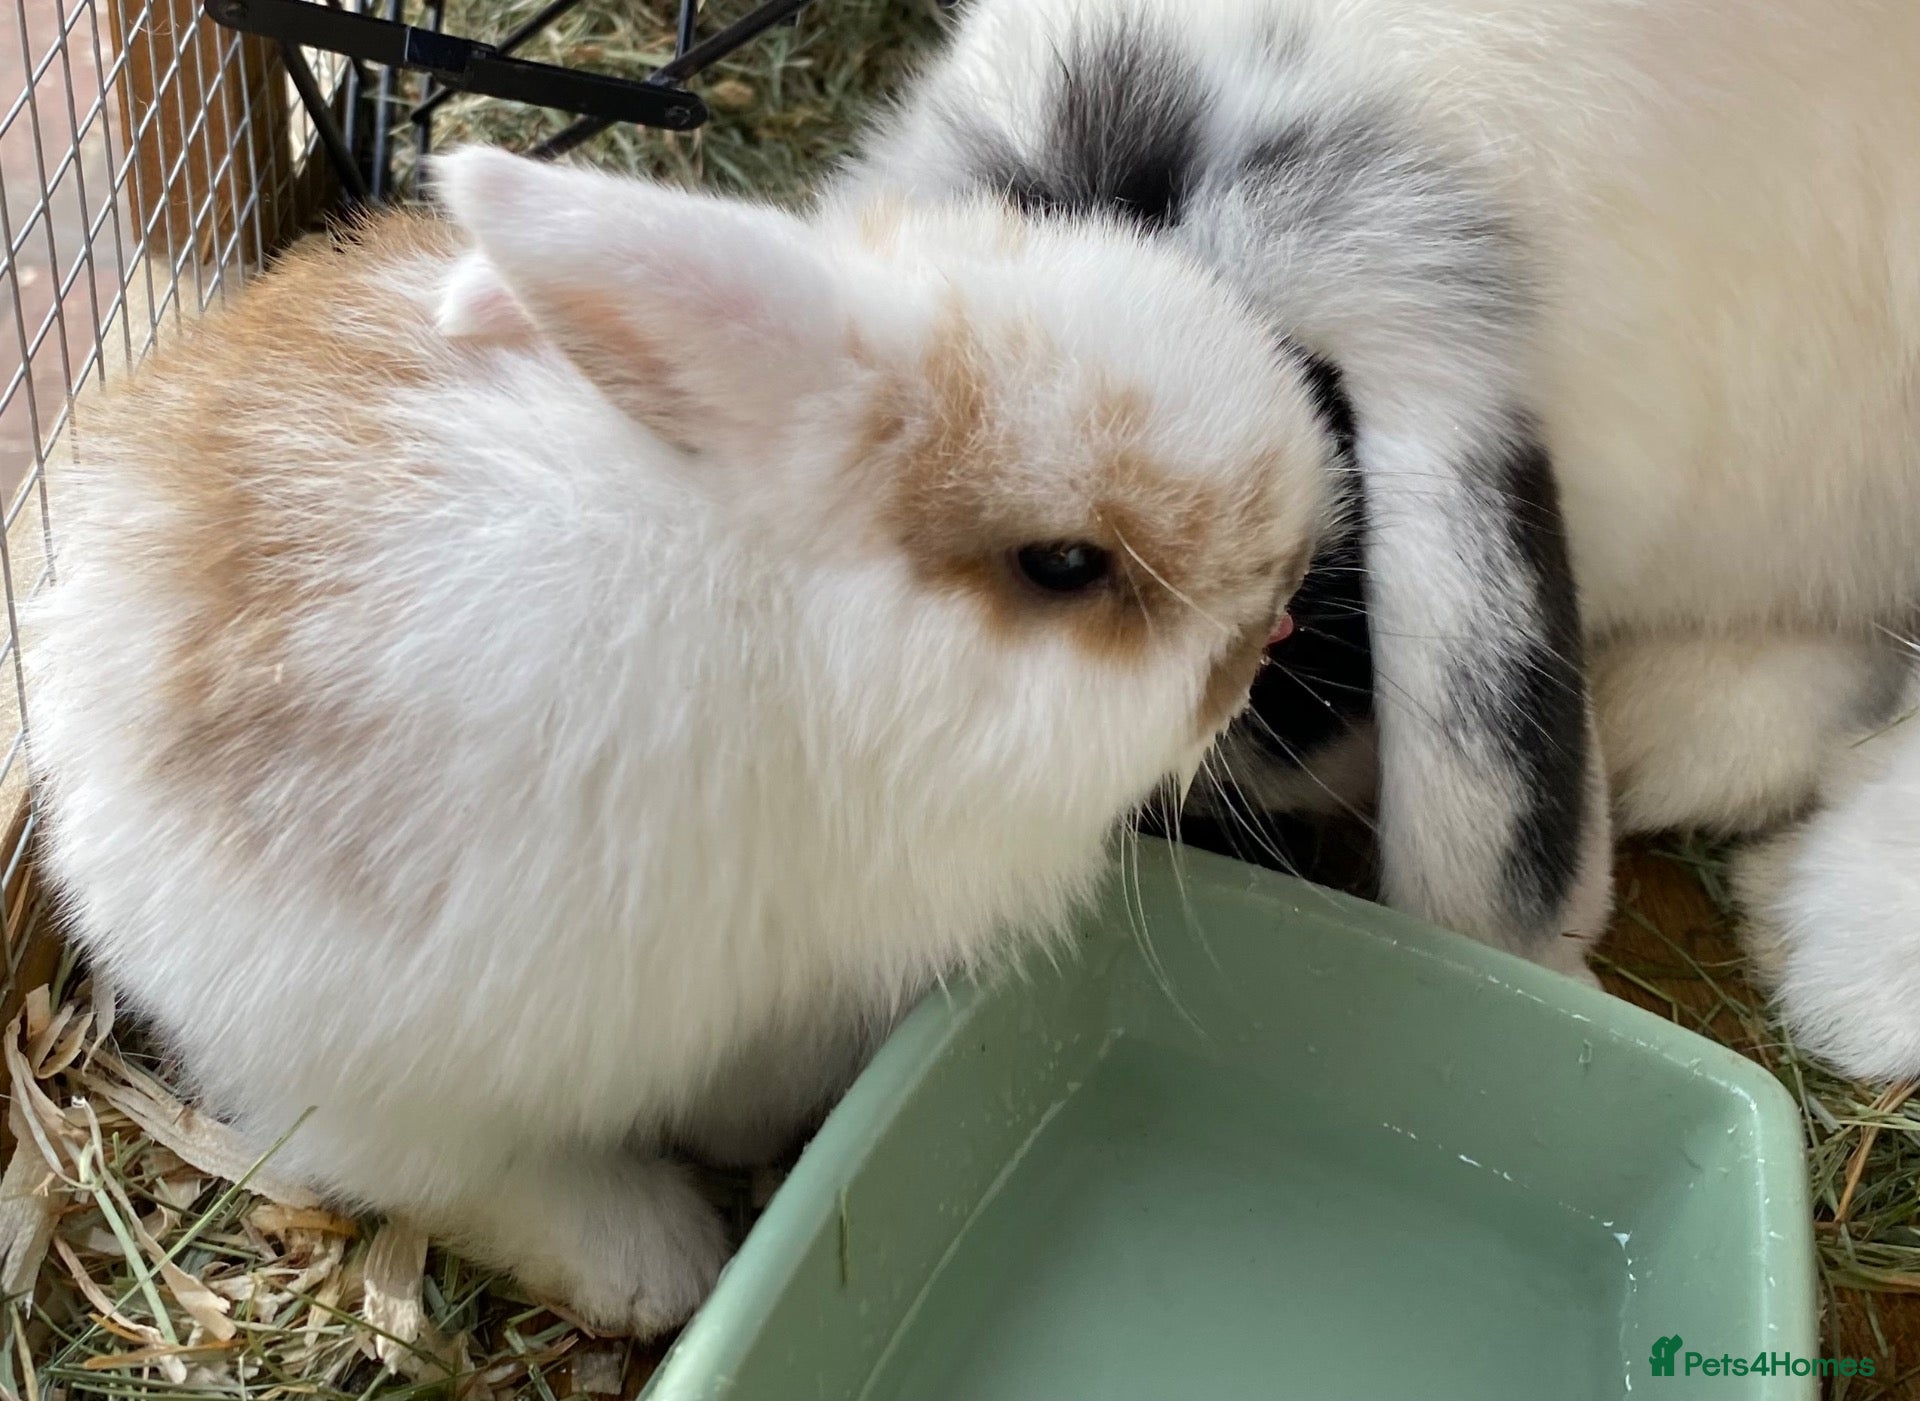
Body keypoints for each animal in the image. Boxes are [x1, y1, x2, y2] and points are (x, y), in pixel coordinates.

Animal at [22, 146, 1335, 1333]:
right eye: (1064, 564)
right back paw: (654, 1266)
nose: (1274, 616)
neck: (791, 614)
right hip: (397, 1060)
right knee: (451, 1174)